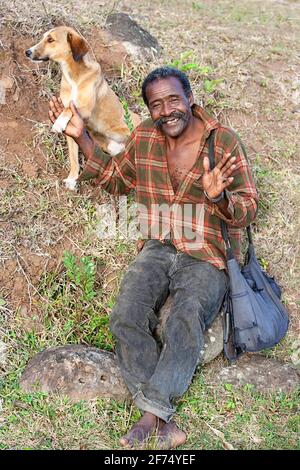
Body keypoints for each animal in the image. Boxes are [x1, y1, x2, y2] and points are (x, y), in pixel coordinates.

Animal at [25, 26, 140, 189]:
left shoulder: (85, 109)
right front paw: (73, 178)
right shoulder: (72, 131)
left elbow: (68, 109)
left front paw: (58, 123)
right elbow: (73, 157)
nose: (27, 52)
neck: (74, 76)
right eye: (43, 38)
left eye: (50, 39)